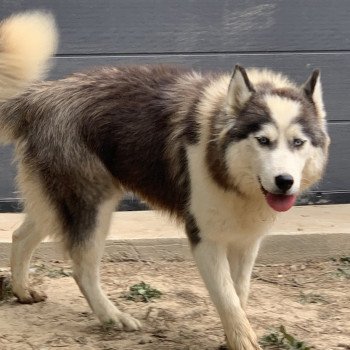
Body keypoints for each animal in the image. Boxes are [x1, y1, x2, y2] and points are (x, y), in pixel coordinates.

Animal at [0, 11, 330, 350]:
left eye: (298, 142)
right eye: (263, 140)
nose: (284, 181)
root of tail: (42, 94)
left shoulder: (246, 240)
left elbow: (240, 294)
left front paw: (233, 336)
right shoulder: (205, 239)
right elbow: (227, 299)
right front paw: (242, 340)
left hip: (57, 204)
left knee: (21, 236)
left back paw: (22, 291)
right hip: (93, 206)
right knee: (82, 269)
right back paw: (112, 316)